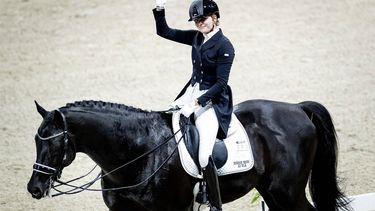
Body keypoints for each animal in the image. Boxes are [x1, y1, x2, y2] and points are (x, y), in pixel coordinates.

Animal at [27, 99, 352, 210]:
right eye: (35, 140)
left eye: (53, 144)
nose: (34, 188)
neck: (137, 153)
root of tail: (297, 108)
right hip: (272, 191)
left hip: (287, 192)